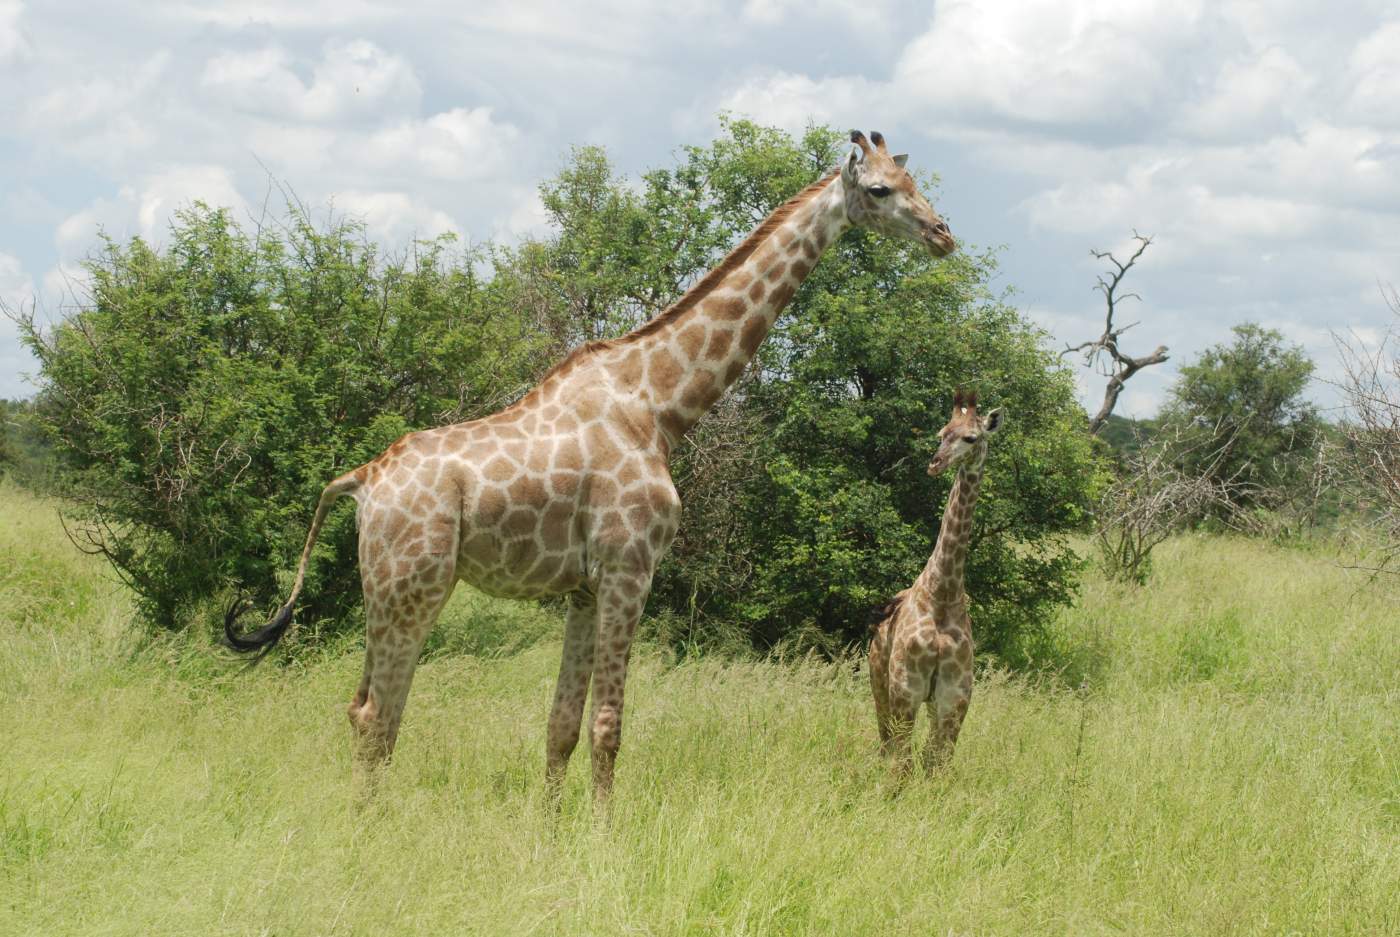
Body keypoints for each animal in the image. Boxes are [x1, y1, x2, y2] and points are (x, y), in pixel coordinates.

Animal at [226, 131, 963, 806]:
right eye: (880, 190)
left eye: (914, 179)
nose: (943, 234)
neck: (659, 404)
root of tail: (361, 481)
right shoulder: (629, 568)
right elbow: (609, 725)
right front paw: (603, 840)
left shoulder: (582, 587)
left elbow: (561, 726)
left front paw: (551, 832)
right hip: (414, 585)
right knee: (380, 715)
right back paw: (365, 829)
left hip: (384, 589)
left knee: (361, 709)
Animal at [868, 386, 1002, 773]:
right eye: (941, 433)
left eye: (971, 437)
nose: (935, 463)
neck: (942, 594)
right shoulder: (906, 689)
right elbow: (902, 765)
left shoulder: (953, 698)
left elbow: (935, 765)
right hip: (880, 683)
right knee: (887, 748)